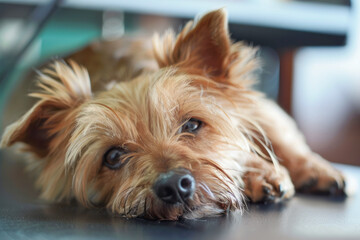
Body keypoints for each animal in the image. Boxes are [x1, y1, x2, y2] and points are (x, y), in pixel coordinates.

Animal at [1, 8, 348, 219]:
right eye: (112, 156)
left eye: (193, 124)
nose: (174, 186)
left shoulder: (258, 107)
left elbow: (275, 138)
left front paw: (267, 170)